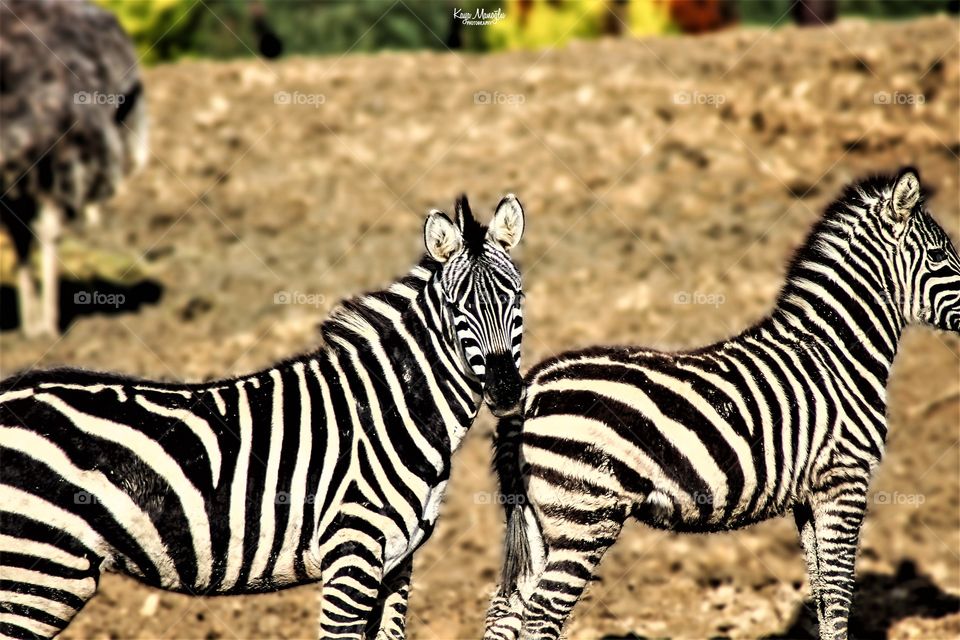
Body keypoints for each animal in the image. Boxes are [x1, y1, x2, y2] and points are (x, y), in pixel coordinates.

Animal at [0, 193, 526, 640]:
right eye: (457, 309)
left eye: (517, 299)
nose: (506, 391)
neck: (392, 411)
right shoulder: (351, 552)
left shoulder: (398, 563)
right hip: (37, 566)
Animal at [484, 168, 960, 640]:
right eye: (940, 256)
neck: (835, 354)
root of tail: (531, 387)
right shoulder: (843, 479)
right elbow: (840, 598)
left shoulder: (808, 495)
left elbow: (825, 599)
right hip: (583, 514)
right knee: (541, 615)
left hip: (539, 518)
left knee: (505, 611)